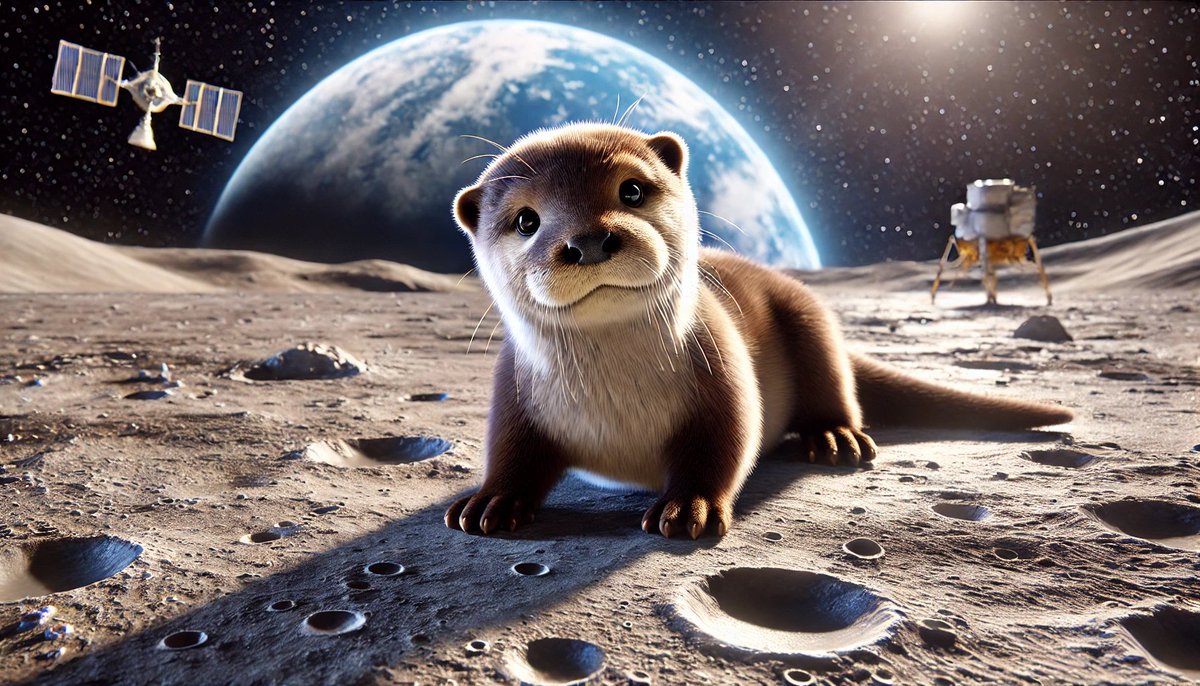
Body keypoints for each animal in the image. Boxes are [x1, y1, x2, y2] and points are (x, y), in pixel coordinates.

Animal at [445, 123, 1072, 539]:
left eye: (631, 190)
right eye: (526, 220)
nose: (589, 240)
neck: (616, 404)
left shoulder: (721, 365)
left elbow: (725, 441)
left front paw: (689, 506)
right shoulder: (513, 387)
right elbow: (512, 448)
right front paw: (491, 500)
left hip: (809, 320)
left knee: (834, 385)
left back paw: (836, 437)